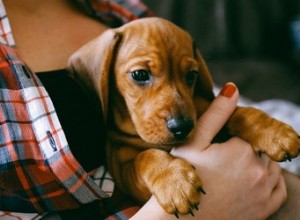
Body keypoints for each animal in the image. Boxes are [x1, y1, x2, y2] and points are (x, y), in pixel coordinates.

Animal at [68, 17, 300, 217]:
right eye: (140, 74)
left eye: (191, 75)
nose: (182, 127)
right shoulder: (123, 171)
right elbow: (145, 157)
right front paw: (174, 181)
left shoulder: (205, 110)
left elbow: (242, 113)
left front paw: (275, 133)